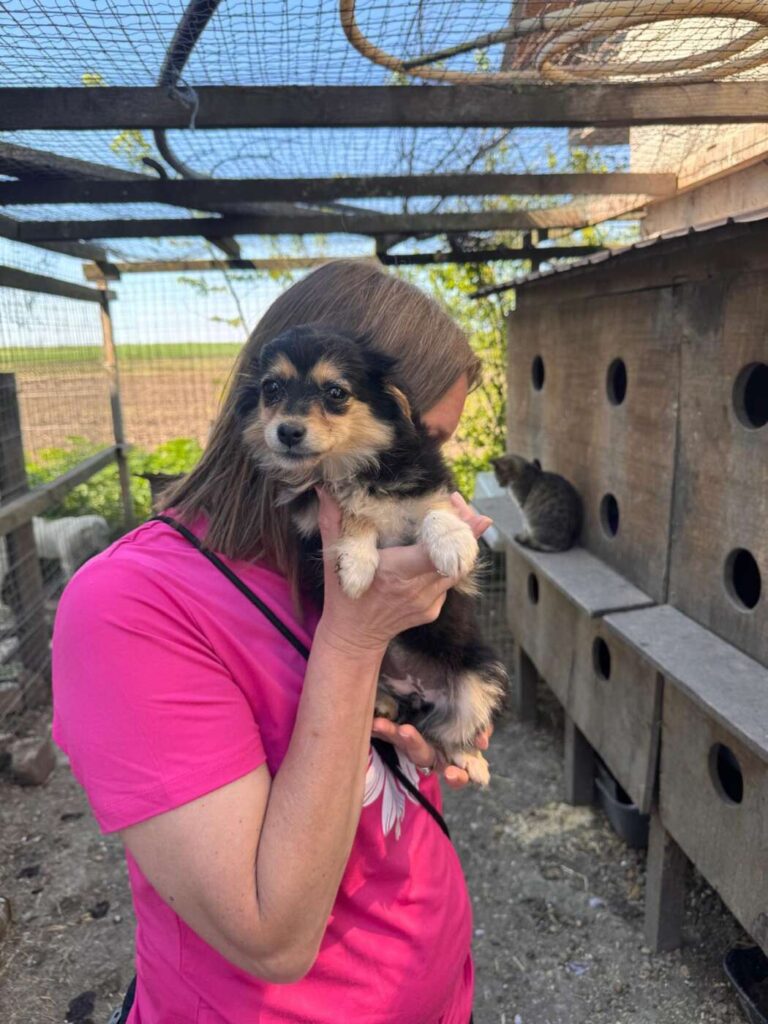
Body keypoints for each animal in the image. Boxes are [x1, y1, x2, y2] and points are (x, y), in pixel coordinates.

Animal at [235, 324, 507, 785]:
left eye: (336, 392)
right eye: (271, 388)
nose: (287, 431)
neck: (350, 464)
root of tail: (414, 688)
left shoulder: (426, 483)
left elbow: (432, 507)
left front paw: (453, 541)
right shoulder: (314, 520)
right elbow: (355, 515)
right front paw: (356, 565)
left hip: (479, 673)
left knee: (453, 730)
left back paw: (473, 761)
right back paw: (384, 704)